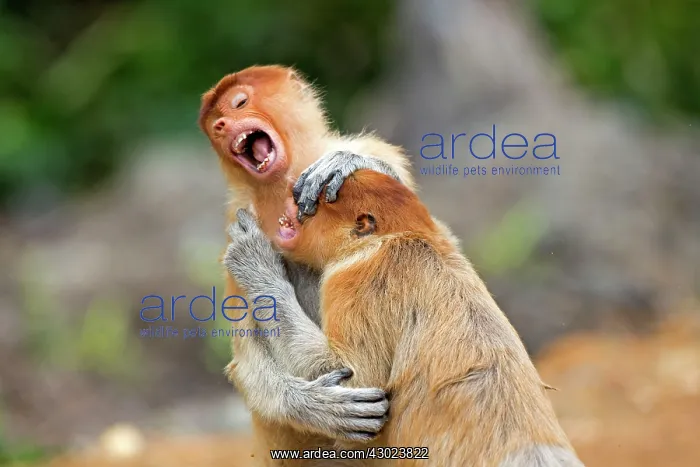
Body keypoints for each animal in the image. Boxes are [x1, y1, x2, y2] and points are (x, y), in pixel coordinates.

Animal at [198, 65, 417, 461]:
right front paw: (319, 407)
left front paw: (345, 163)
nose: (222, 125)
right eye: (214, 124)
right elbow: (246, 360)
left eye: (239, 102)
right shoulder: (235, 219)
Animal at [223, 169, 585, 467]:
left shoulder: (355, 282)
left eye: (318, 200)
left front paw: (253, 257)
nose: (292, 191)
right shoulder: (439, 233)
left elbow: (353, 376)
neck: (400, 237)